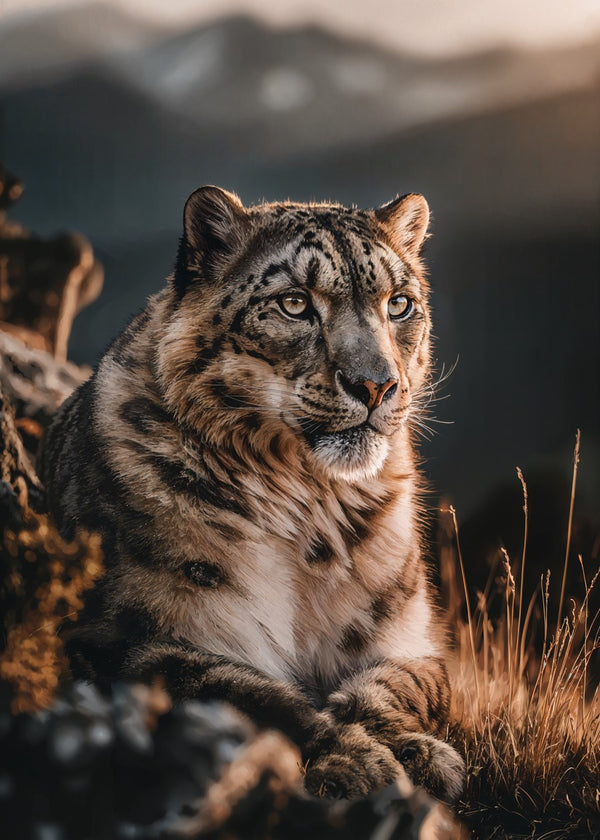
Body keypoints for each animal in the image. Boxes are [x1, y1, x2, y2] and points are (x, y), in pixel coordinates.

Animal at [40, 186, 466, 802]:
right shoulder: (138, 639)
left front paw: (417, 752)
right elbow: (253, 698)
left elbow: (410, 685)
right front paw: (359, 760)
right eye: (294, 303)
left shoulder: (411, 639)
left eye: (400, 304)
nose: (376, 384)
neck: (316, 514)